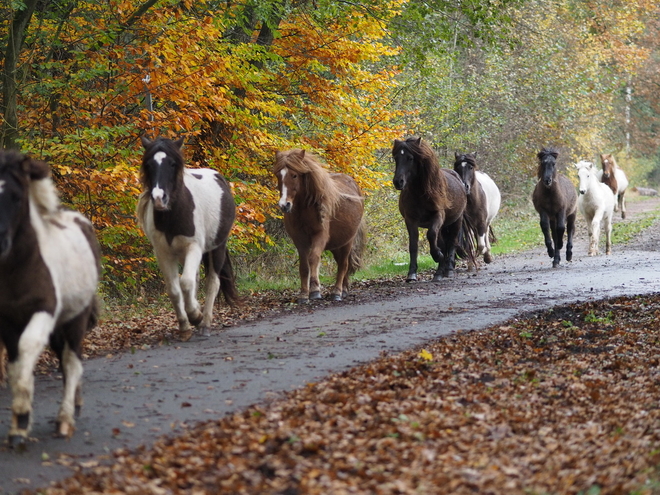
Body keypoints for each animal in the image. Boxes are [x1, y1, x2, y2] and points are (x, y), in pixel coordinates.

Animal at [0, 150, 100, 446]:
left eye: (16, 197)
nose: (0, 242)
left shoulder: (43, 311)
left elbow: (29, 347)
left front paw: (22, 418)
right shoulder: (7, 322)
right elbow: (15, 365)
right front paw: (18, 427)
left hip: (75, 320)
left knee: (71, 362)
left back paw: (65, 419)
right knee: (64, 361)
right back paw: (75, 404)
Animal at [137, 138, 240, 342]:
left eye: (172, 164)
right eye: (149, 165)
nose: (159, 198)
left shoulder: (194, 248)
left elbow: (185, 283)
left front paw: (196, 316)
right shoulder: (164, 254)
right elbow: (175, 290)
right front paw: (185, 327)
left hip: (217, 247)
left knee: (212, 283)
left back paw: (205, 323)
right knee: (196, 281)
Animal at [274, 148, 366, 302]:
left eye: (294, 175)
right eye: (278, 175)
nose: (284, 205)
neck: (305, 209)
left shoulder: (320, 235)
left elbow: (313, 258)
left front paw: (315, 290)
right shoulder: (299, 239)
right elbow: (304, 266)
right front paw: (304, 294)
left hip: (348, 241)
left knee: (343, 264)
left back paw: (337, 292)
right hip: (336, 243)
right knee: (342, 263)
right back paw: (344, 289)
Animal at [392, 138, 474, 282]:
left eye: (410, 158)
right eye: (396, 158)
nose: (398, 182)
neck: (420, 194)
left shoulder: (437, 216)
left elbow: (431, 235)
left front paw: (437, 256)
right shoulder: (410, 220)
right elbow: (413, 245)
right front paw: (412, 274)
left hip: (456, 221)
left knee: (451, 243)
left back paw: (448, 270)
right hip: (443, 226)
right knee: (443, 243)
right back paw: (440, 271)